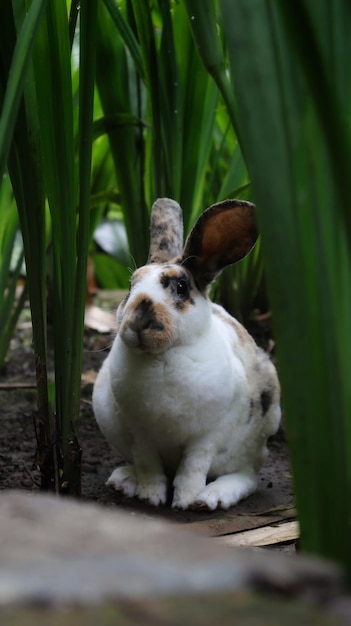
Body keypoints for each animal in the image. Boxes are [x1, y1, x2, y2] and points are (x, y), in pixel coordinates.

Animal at [92, 197, 282, 510]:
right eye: (130, 287)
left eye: (181, 287)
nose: (139, 319)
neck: (162, 356)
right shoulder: (140, 436)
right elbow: (149, 467)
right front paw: (151, 498)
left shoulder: (206, 438)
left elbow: (192, 469)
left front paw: (186, 501)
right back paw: (123, 481)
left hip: (254, 443)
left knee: (248, 476)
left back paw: (212, 497)